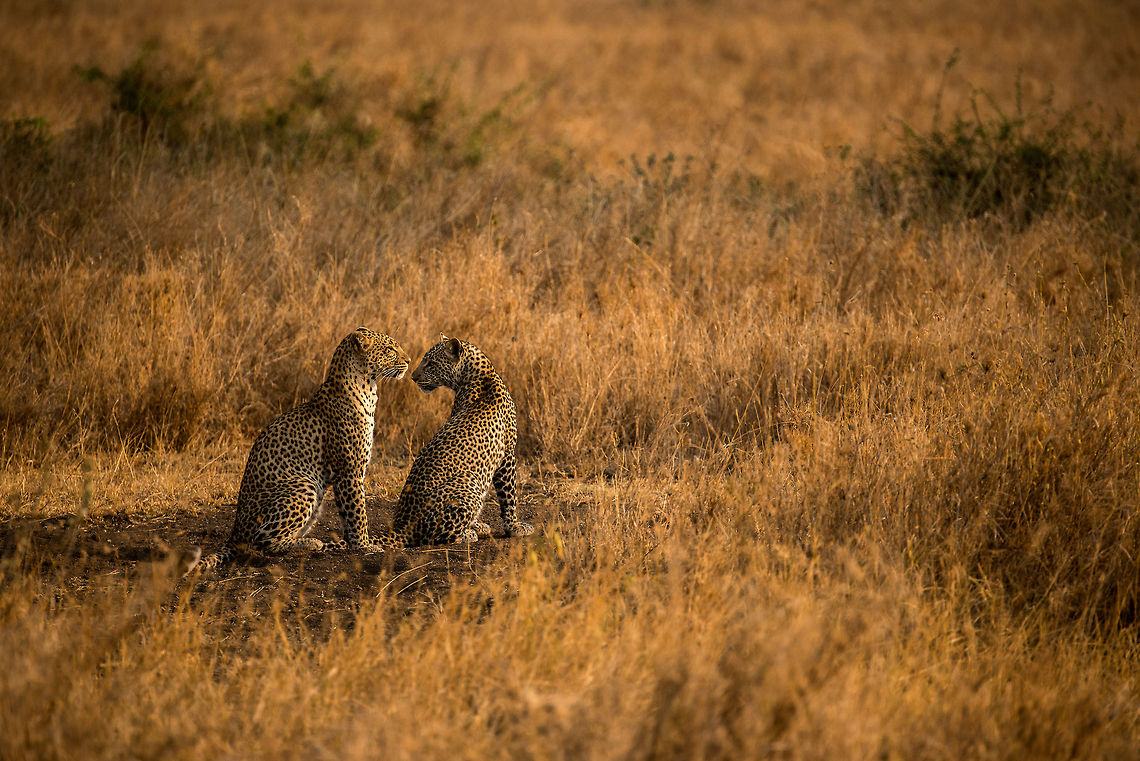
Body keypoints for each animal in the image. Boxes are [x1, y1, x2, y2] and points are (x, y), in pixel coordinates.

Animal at [191, 327, 410, 572]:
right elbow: (358, 511)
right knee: (262, 540)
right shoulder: (350, 471)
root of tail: (235, 532)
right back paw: (312, 543)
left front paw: (353, 544)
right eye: (390, 349)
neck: (367, 388)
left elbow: (348, 513)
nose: (409, 361)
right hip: (304, 485)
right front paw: (366, 545)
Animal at [376, 334, 535, 547]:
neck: (481, 374)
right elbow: (509, 495)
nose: (413, 377)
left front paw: (481, 525)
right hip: (469, 480)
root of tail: (402, 526)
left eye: (431, 363)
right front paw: (515, 527)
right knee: (434, 536)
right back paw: (466, 534)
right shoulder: (507, 454)